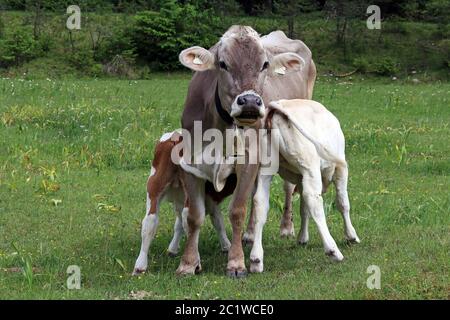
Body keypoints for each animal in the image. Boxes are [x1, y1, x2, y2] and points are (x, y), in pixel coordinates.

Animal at [177, 26, 316, 276]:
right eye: (222, 63)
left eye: (265, 64)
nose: (250, 101)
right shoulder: (190, 163)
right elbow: (194, 215)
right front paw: (188, 263)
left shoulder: (249, 160)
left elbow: (237, 211)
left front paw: (236, 262)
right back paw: (251, 234)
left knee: (287, 186)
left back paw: (286, 227)